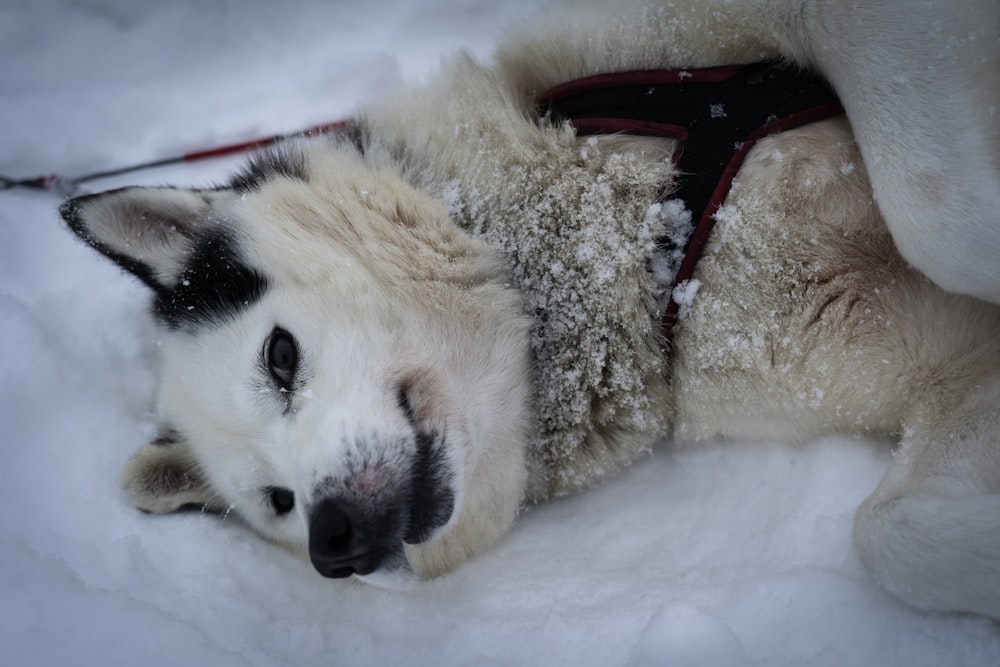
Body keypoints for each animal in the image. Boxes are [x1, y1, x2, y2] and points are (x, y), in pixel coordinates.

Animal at [60, 0, 1000, 620]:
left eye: (279, 358)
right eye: (277, 502)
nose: (334, 543)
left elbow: (936, 214)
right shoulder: (949, 378)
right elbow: (893, 535)